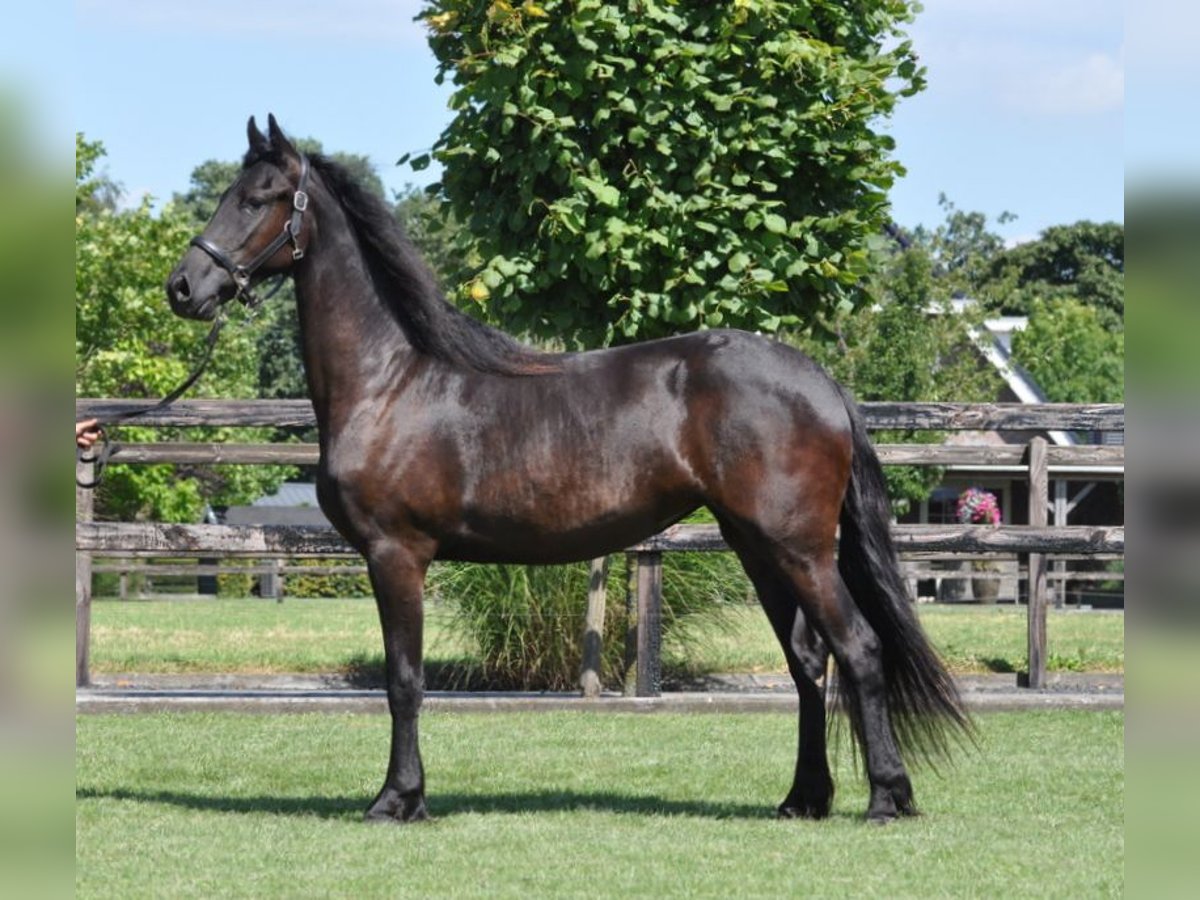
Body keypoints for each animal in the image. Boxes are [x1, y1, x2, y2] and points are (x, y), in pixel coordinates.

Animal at [169, 118, 969, 825]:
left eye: (259, 197)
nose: (184, 286)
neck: (390, 381)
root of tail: (822, 382)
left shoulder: (396, 554)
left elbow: (404, 681)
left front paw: (398, 800)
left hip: (800, 549)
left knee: (857, 649)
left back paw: (886, 798)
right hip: (760, 548)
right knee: (808, 661)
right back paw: (803, 799)